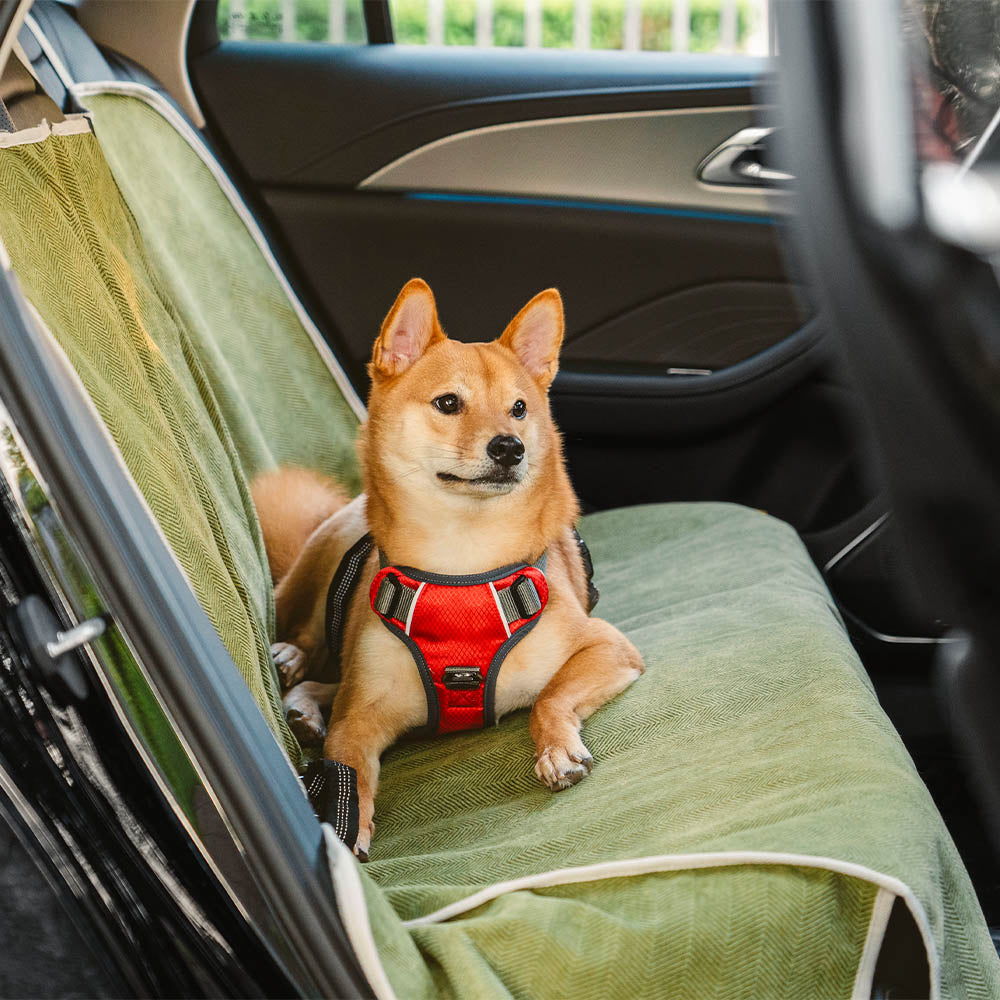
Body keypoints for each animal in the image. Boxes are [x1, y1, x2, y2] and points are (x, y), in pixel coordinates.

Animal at [249, 278, 640, 856]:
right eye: (449, 403)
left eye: (519, 408)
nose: (510, 447)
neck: (462, 562)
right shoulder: (357, 720)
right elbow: (350, 769)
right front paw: (353, 823)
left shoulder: (607, 647)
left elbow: (549, 697)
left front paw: (556, 749)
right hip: (322, 560)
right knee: (307, 632)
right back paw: (290, 660)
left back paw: (304, 703)